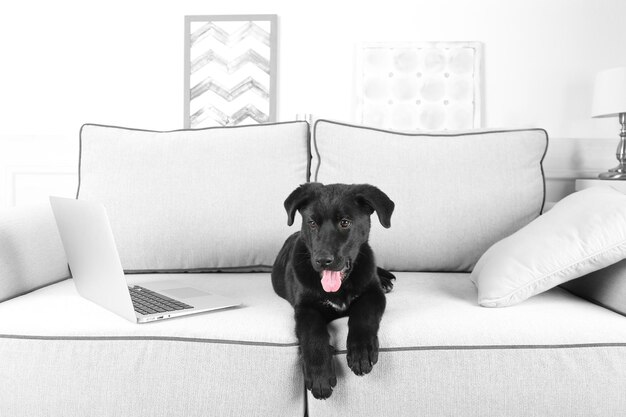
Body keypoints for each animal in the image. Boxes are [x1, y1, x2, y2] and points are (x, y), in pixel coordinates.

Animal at [270, 181, 394, 396]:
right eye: (312, 223)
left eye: (345, 222)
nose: (322, 260)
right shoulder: (305, 308)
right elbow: (313, 333)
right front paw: (319, 375)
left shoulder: (373, 294)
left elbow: (363, 315)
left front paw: (361, 351)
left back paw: (385, 278)